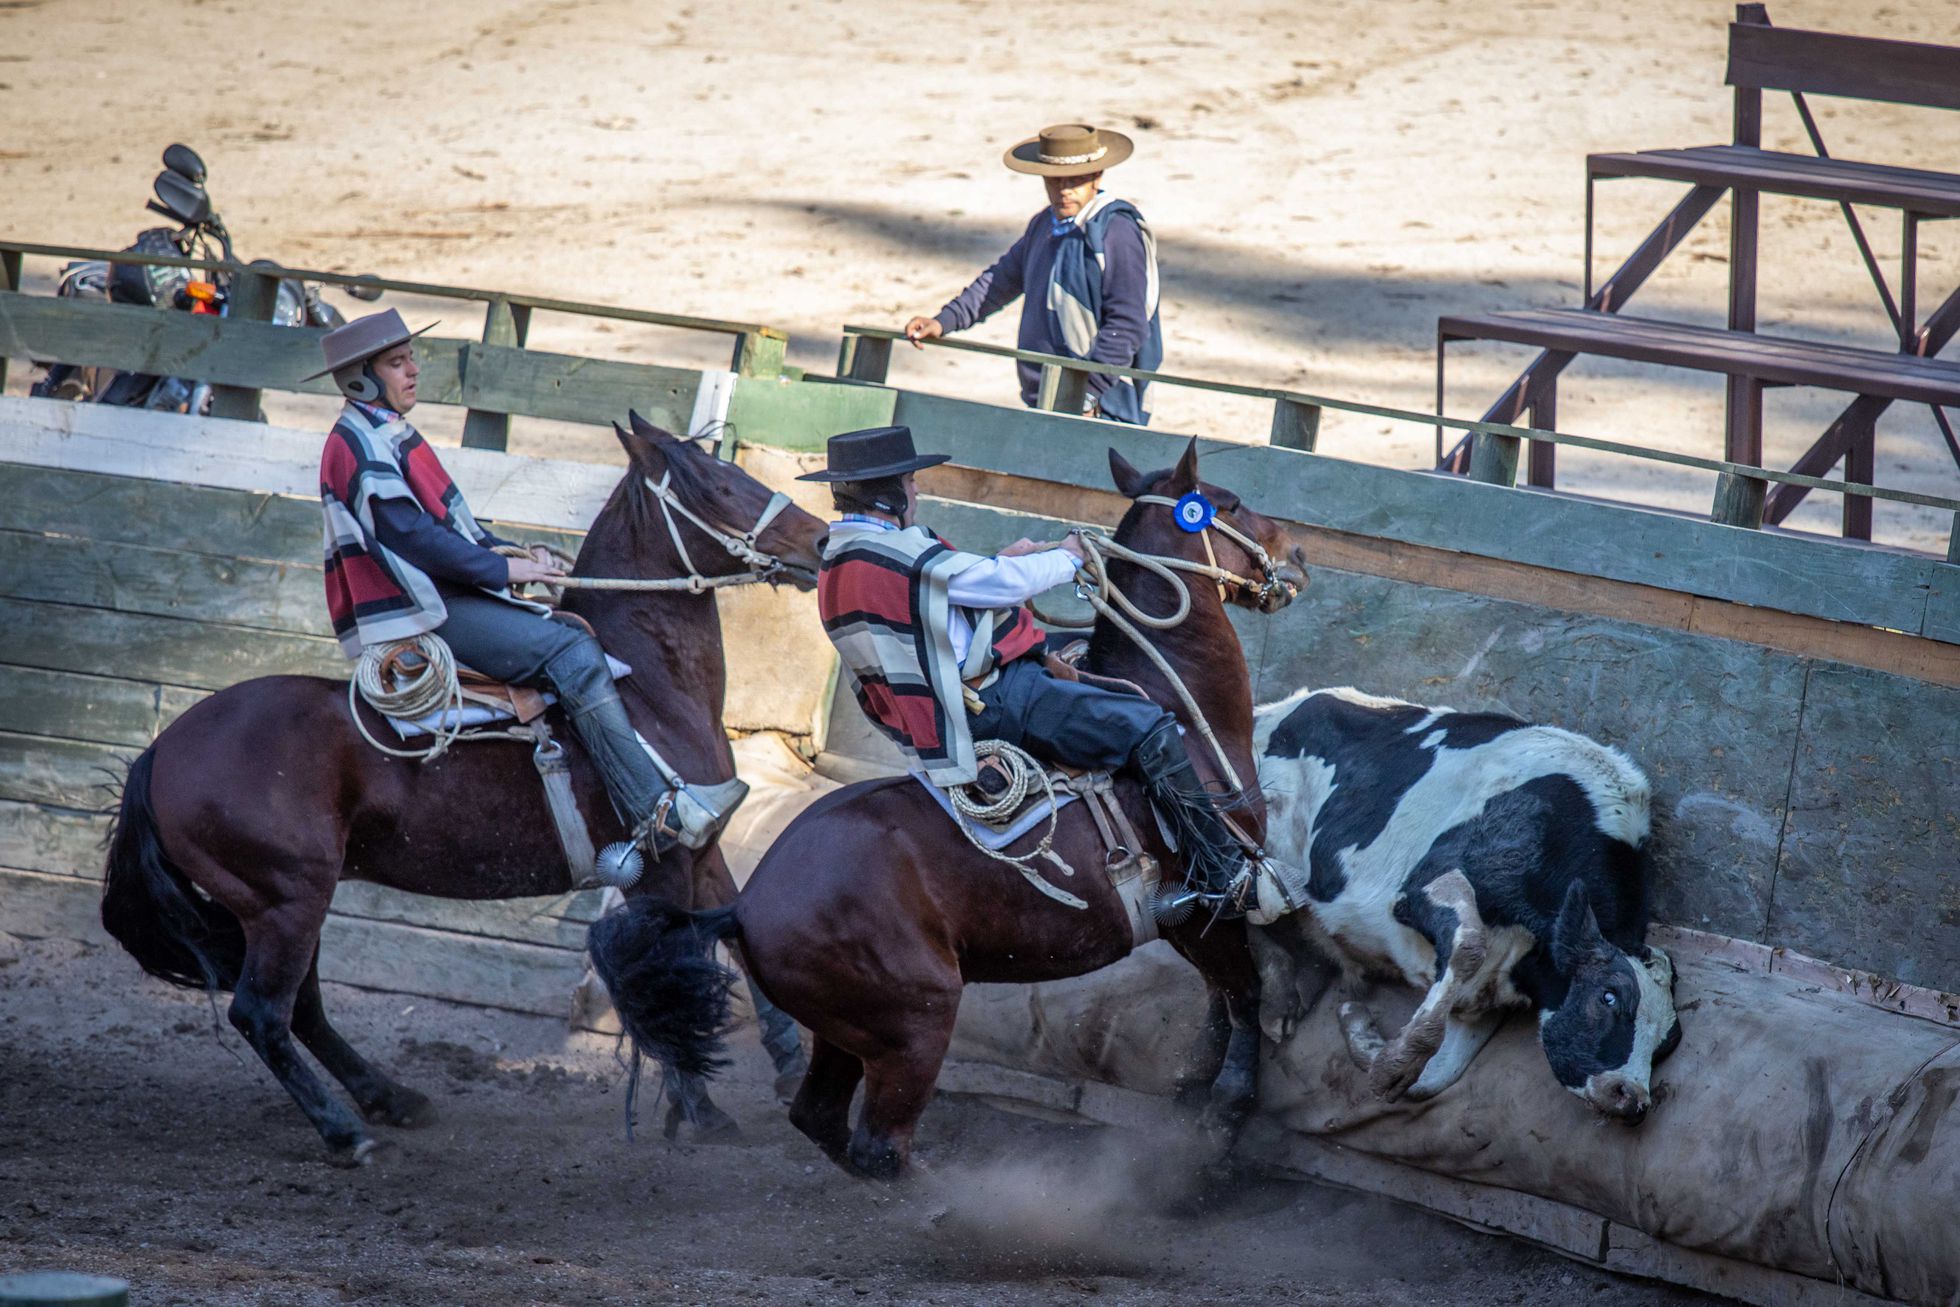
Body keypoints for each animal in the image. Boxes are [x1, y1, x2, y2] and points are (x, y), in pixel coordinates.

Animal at [99, 411, 827, 1167]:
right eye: (718, 485)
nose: (822, 538)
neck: (648, 690)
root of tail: (158, 752)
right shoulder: (659, 869)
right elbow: (667, 975)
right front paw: (701, 1108)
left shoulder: (703, 852)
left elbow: (740, 942)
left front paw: (784, 1071)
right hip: (286, 901)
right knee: (263, 1013)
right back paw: (346, 1130)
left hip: (286, 903)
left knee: (302, 1006)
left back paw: (392, 1098)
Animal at [588, 442, 1309, 1183]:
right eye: (1228, 504)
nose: (1297, 555)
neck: (1181, 709)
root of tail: (744, 906)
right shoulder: (1204, 900)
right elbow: (1245, 993)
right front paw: (1225, 1111)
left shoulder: (1188, 921)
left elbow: (1221, 1003)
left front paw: (1197, 1089)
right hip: (918, 1021)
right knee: (882, 1144)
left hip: (848, 1031)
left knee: (822, 1118)